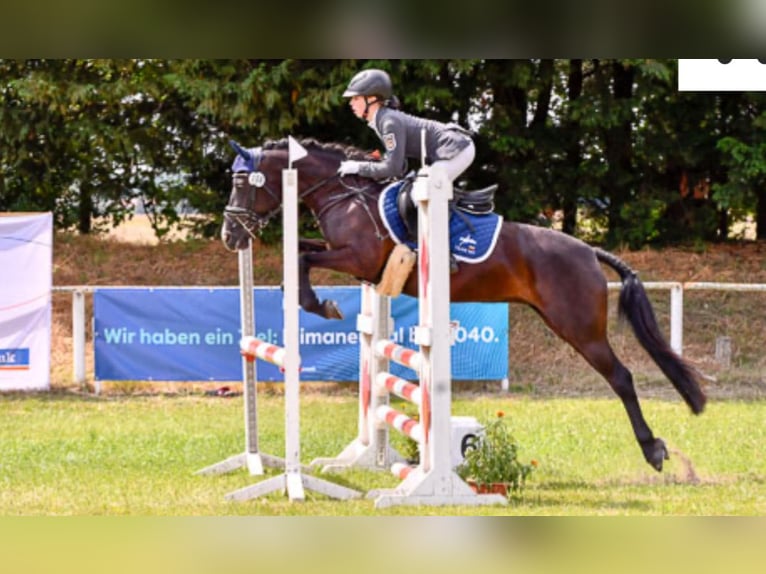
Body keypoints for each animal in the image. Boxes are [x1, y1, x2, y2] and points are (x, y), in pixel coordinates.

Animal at [220, 137, 708, 474]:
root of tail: (589, 251)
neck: (346, 195)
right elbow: (300, 252)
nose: (231, 236)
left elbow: (304, 259)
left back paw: (653, 450)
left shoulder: (358, 258)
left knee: (621, 377)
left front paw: (319, 305)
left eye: (242, 182)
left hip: (579, 328)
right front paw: (312, 299)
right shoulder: (350, 260)